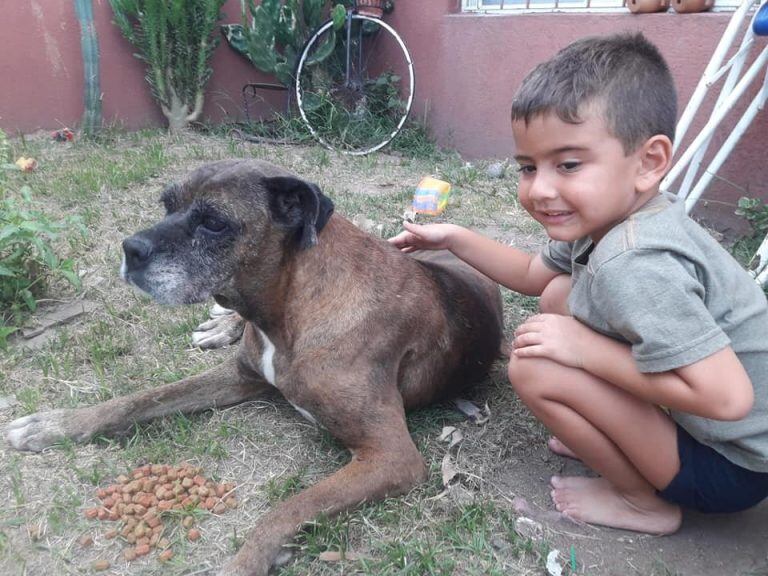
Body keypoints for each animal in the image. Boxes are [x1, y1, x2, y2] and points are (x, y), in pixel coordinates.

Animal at [4, 159, 504, 576]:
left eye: (213, 222)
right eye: (167, 204)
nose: (130, 248)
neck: (290, 307)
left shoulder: (391, 455)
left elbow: (290, 507)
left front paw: (248, 560)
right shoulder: (239, 376)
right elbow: (136, 401)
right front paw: (54, 425)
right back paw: (220, 325)